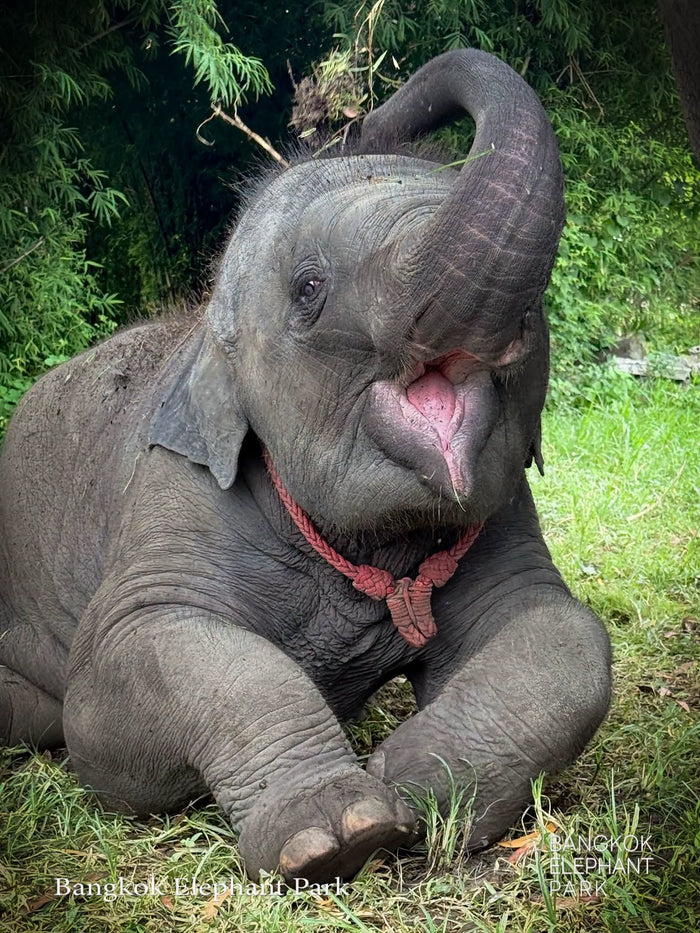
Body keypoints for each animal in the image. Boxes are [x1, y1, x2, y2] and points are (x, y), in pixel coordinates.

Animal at [0, 48, 611, 883]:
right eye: (309, 287)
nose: (360, 115)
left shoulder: (507, 511)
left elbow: (567, 633)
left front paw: (418, 791)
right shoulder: (174, 491)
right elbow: (116, 687)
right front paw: (341, 831)